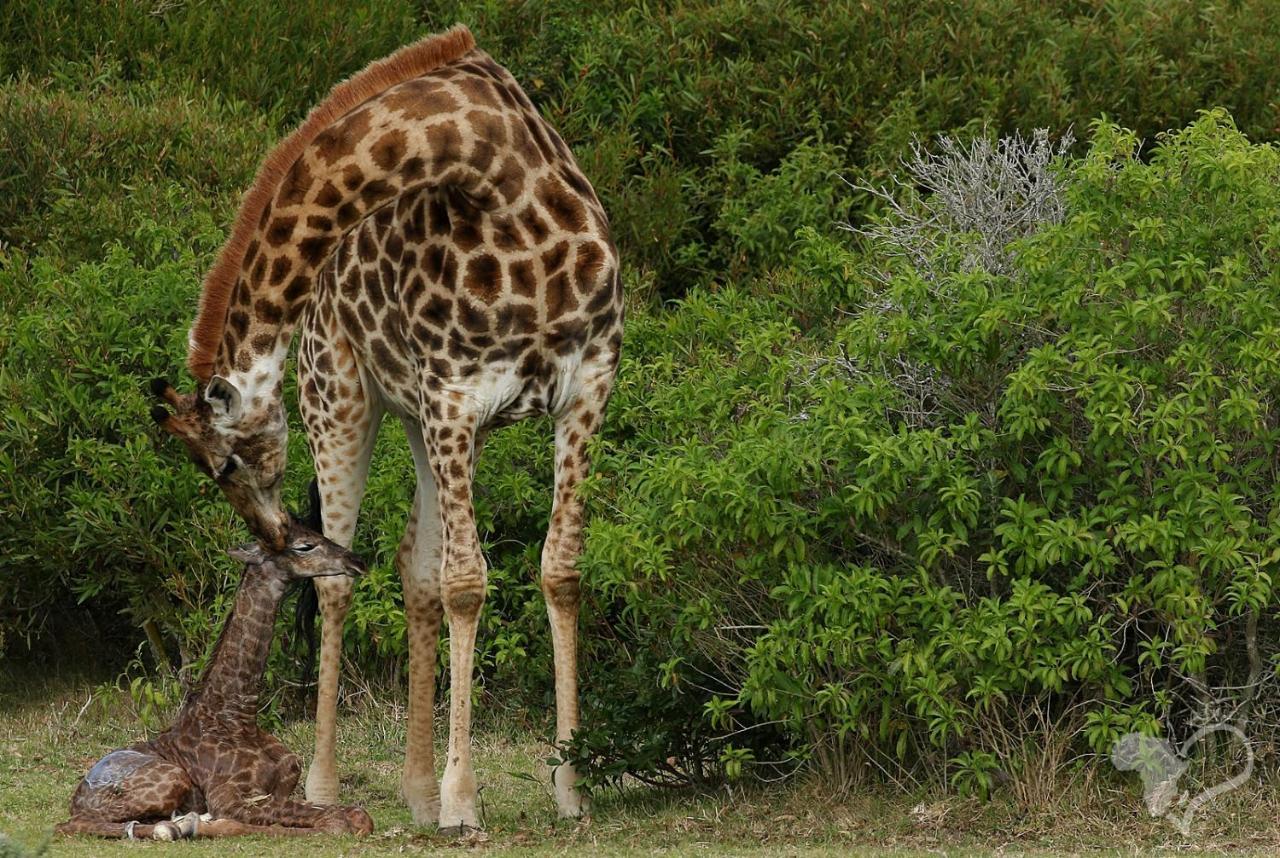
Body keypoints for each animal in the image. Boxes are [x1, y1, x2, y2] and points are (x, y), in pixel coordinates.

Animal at [56, 519, 373, 845]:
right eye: (304, 546)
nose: (356, 561)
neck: (239, 715)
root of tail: (76, 799)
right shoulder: (230, 797)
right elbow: (335, 822)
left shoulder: (281, 787)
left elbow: (357, 816)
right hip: (172, 779)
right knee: (72, 825)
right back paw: (176, 826)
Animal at [152, 25, 622, 834]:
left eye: (223, 468)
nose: (275, 537)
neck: (500, 180)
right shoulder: (455, 396)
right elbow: (469, 581)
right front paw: (465, 801)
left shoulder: (585, 389)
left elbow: (557, 569)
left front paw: (570, 786)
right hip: (343, 403)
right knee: (348, 583)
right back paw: (327, 786)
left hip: (419, 421)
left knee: (414, 565)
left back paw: (417, 791)